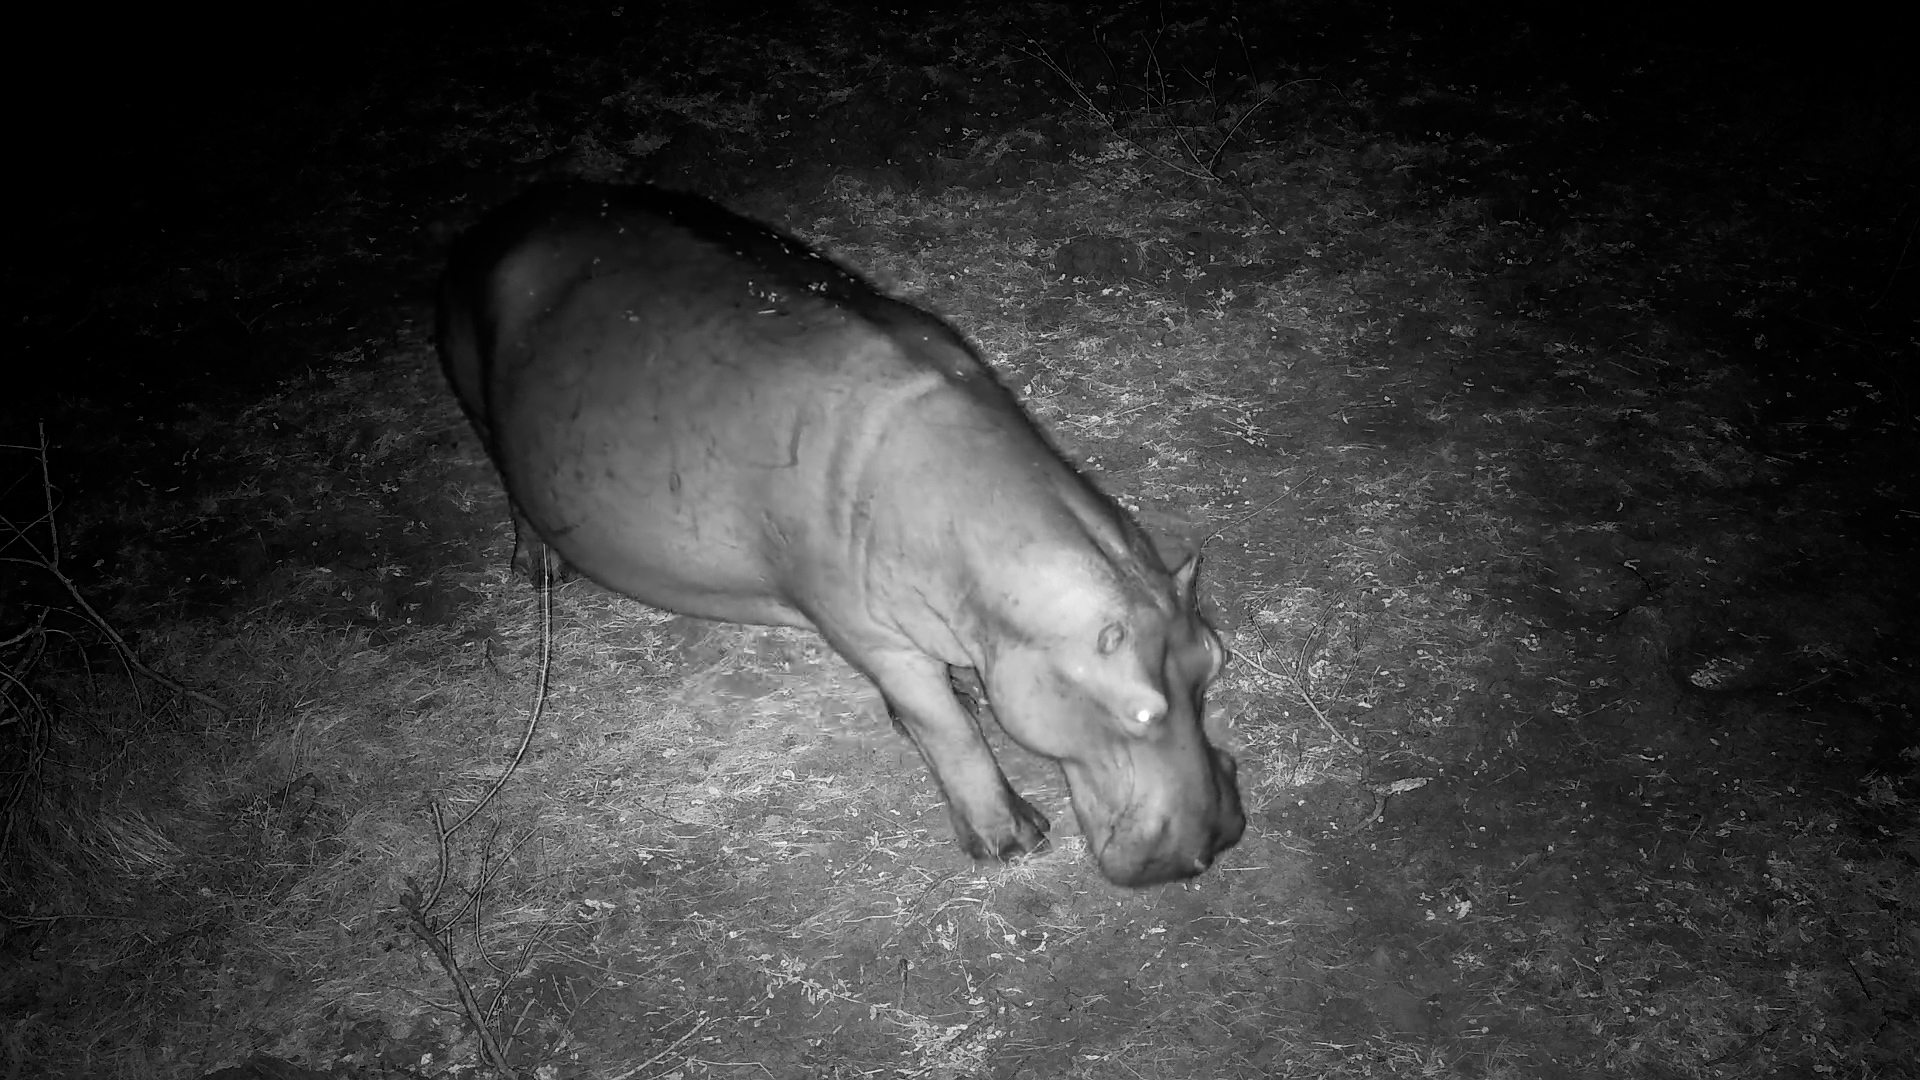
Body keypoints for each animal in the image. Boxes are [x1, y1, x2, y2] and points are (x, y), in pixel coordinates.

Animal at [436, 182, 1243, 886]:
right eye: (1141, 710)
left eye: (1215, 660)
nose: (1219, 841)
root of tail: (515, 216)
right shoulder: (870, 635)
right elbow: (947, 731)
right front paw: (1012, 840)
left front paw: (962, 698)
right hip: (479, 402)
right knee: (508, 478)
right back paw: (540, 569)